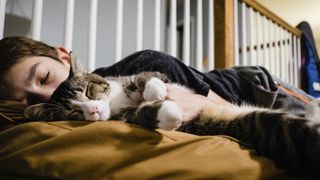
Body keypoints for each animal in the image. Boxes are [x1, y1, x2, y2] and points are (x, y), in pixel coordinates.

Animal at [24, 54, 320, 178]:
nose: (93, 110)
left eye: (87, 90)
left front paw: (155, 91)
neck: (116, 101)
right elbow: (143, 114)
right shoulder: (124, 117)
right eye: (74, 112)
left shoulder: (140, 76)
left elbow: (146, 77)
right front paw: (168, 112)